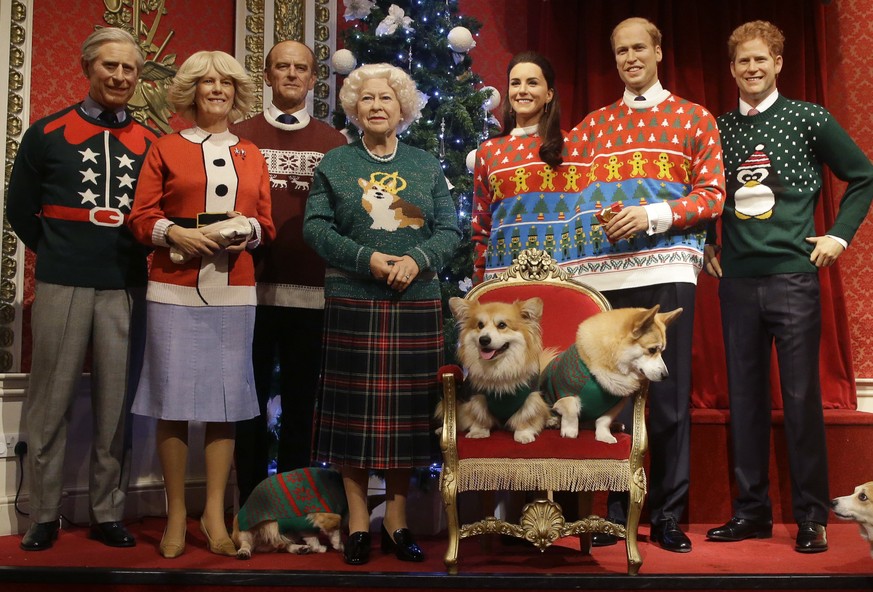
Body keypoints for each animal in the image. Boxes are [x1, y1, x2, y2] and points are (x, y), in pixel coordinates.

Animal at [440, 296, 556, 444]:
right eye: (480, 325)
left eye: (502, 325)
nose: (483, 339)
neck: (498, 369)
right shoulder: (478, 398)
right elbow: (479, 416)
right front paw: (478, 432)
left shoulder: (530, 399)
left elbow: (525, 417)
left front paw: (523, 434)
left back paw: (551, 421)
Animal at [544, 308, 680, 442]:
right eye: (652, 350)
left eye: (662, 351)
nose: (666, 376)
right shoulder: (566, 393)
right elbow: (571, 411)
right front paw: (570, 432)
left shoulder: (616, 404)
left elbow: (603, 421)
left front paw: (604, 436)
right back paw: (553, 422)